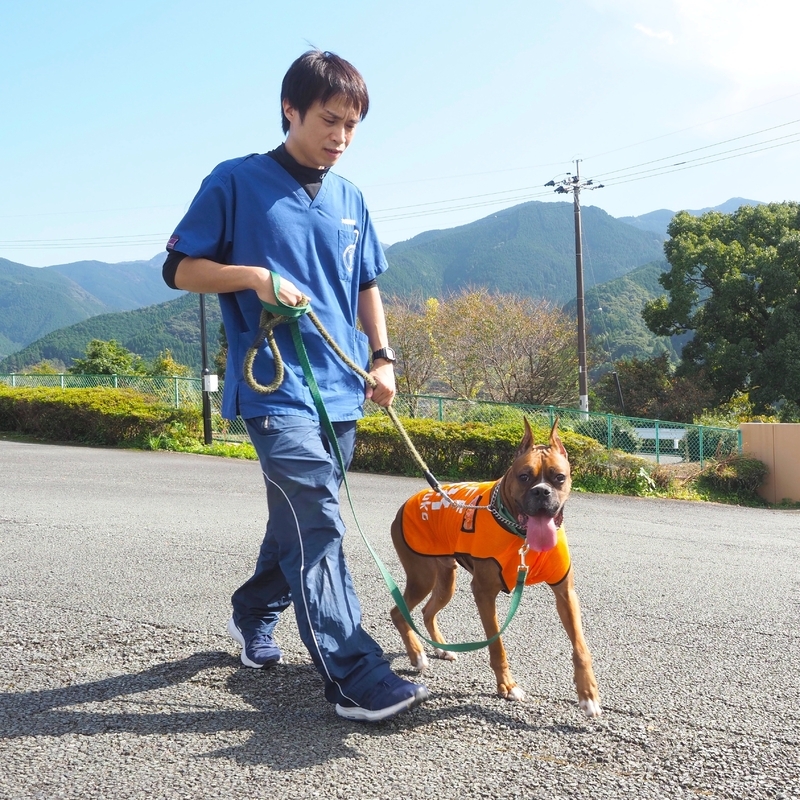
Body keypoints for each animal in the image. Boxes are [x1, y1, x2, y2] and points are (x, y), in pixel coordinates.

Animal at [390, 418, 604, 720]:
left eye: (559, 478)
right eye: (524, 477)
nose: (542, 491)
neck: (521, 534)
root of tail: (408, 501)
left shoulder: (565, 593)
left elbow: (580, 646)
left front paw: (588, 694)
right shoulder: (484, 593)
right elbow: (497, 645)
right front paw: (507, 686)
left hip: (445, 578)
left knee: (428, 611)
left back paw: (441, 650)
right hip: (422, 577)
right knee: (398, 612)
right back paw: (417, 655)